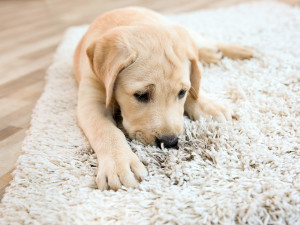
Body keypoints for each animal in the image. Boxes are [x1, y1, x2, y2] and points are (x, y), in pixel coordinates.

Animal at [73, 6, 253, 190]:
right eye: (141, 95)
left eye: (181, 92)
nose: (169, 142)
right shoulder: (91, 101)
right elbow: (106, 130)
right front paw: (119, 164)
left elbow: (194, 86)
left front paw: (209, 106)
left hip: (186, 32)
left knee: (203, 45)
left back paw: (238, 50)